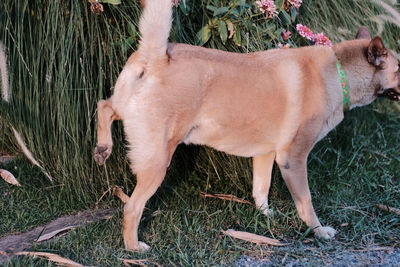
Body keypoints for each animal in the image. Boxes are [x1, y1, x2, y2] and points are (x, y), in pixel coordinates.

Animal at [92, 0, 398, 251]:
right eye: (399, 69)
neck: (338, 72)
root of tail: (157, 57)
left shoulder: (265, 154)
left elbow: (260, 190)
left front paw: (266, 216)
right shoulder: (293, 159)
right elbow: (306, 203)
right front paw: (318, 230)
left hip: (127, 113)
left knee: (104, 106)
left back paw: (103, 148)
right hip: (157, 161)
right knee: (131, 208)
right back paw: (133, 247)